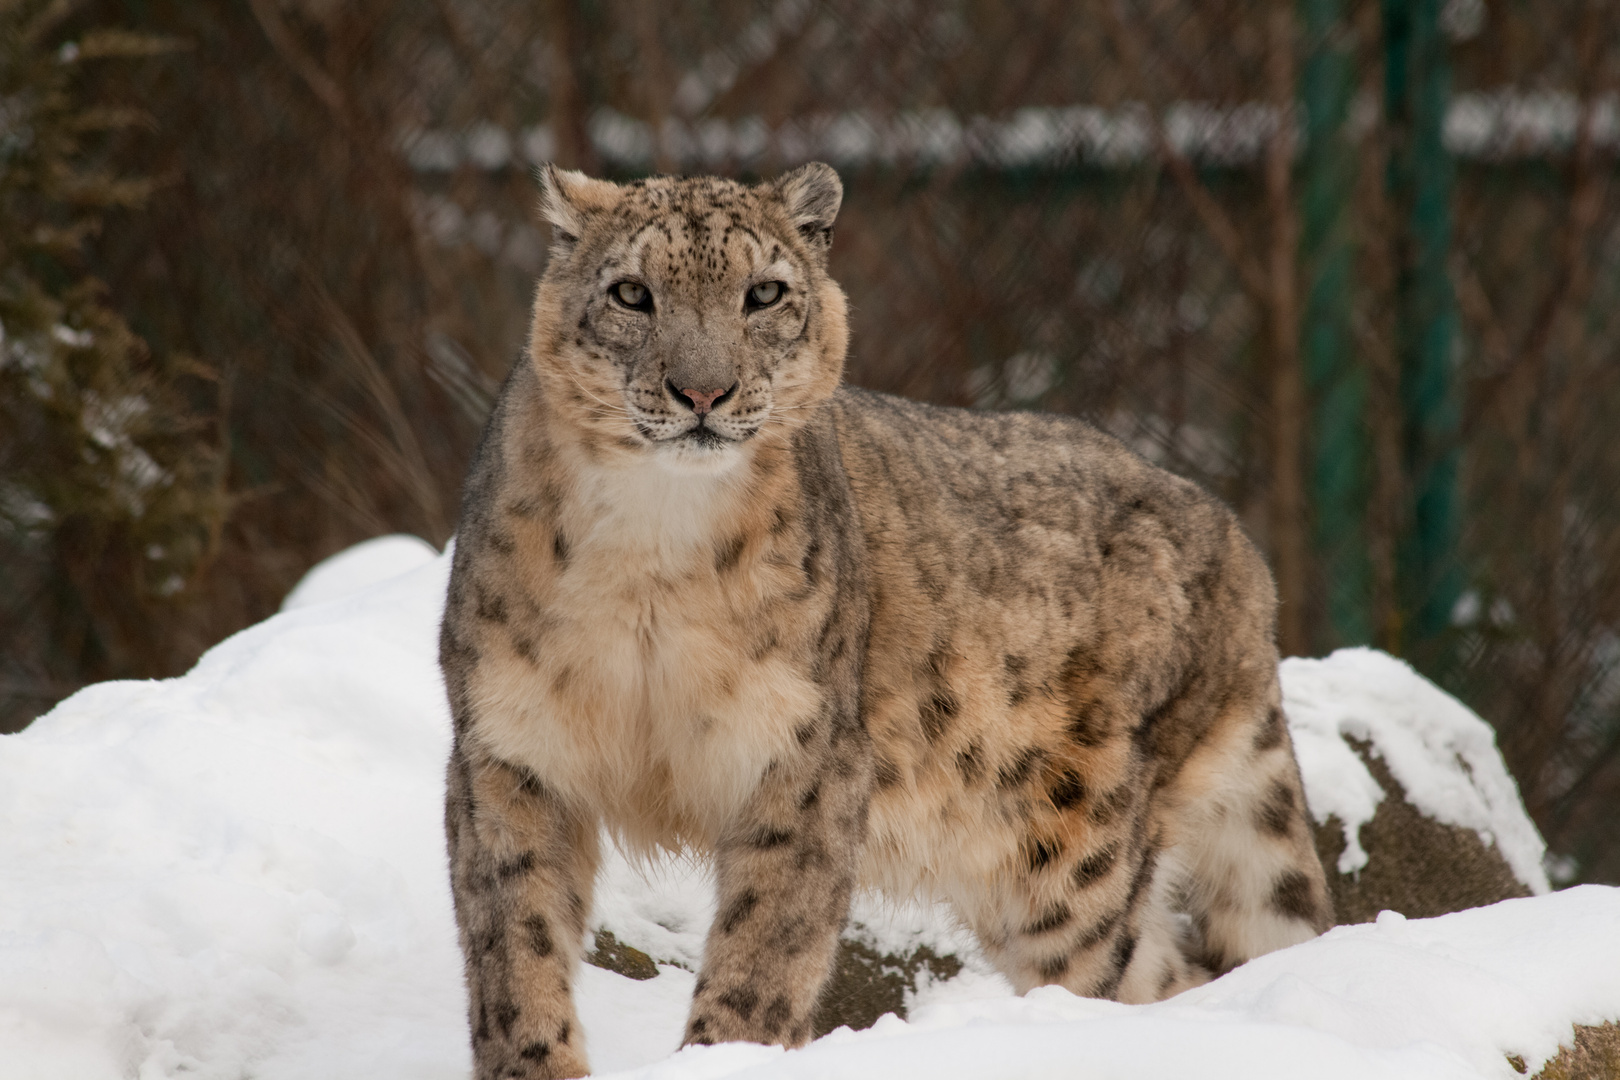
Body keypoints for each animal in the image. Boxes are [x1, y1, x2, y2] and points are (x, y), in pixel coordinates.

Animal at [440, 162, 1328, 1080]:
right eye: (630, 293)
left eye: (764, 293)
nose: (703, 390)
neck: (652, 547)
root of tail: (1239, 548)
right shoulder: (512, 749)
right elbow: (514, 943)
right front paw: (533, 1061)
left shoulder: (802, 755)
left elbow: (764, 947)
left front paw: (728, 1052)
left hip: (1074, 861)